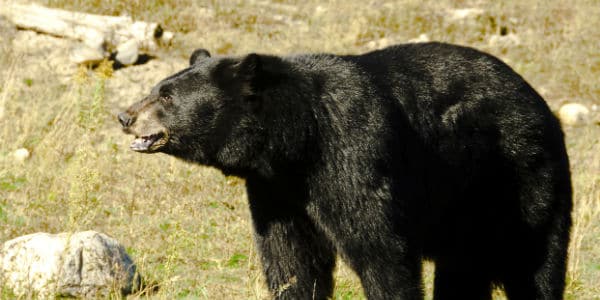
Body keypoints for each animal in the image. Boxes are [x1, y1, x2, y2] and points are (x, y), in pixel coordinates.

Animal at [118, 42, 572, 300]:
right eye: (157, 88)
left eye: (166, 96)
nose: (124, 116)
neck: (299, 139)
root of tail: (540, 102)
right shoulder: (276, 189)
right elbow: (290, 258)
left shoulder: (352, 150)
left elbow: (379, 249)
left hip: (519, 179)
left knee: (535, 267)